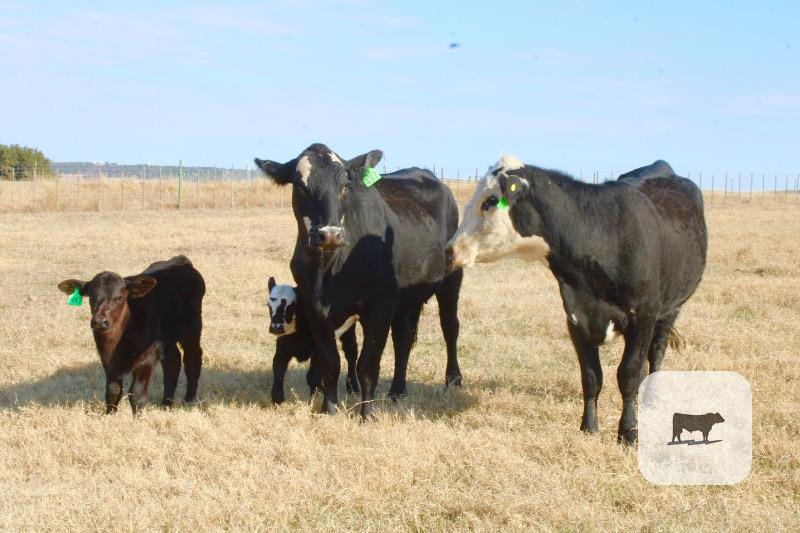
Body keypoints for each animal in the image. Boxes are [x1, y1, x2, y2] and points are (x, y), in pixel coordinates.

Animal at [58, 255, 205, 414]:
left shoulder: (147, 357)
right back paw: (166, 404)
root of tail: (181, 259)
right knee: (173, 362)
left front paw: (138, 417)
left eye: (119, 298)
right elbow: (112, 392)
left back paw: (189, 400)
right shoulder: (107, 360)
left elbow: (136, 394)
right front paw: (109, 415)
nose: (100, 322)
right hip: (168, 338)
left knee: (192, 358)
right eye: (91, 297)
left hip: (191, 328)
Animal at [267, 276, 359, 404]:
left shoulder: (318, 350)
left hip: (349, 330)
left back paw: (353, 387)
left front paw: (317, 396)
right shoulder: (283, 346)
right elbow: (278, 367)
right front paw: (277, 397)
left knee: (351, 353)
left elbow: (312, 376)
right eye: (269, 305)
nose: (276, 327)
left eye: (291, 306)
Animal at [495, 157, 707, 443]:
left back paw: (652, 396)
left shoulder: (643, 316)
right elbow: (591, 375)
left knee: (656, 353)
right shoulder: (575, 318)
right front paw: (589, 426)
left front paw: (628, 431)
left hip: (671, 309)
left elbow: (628, 373)